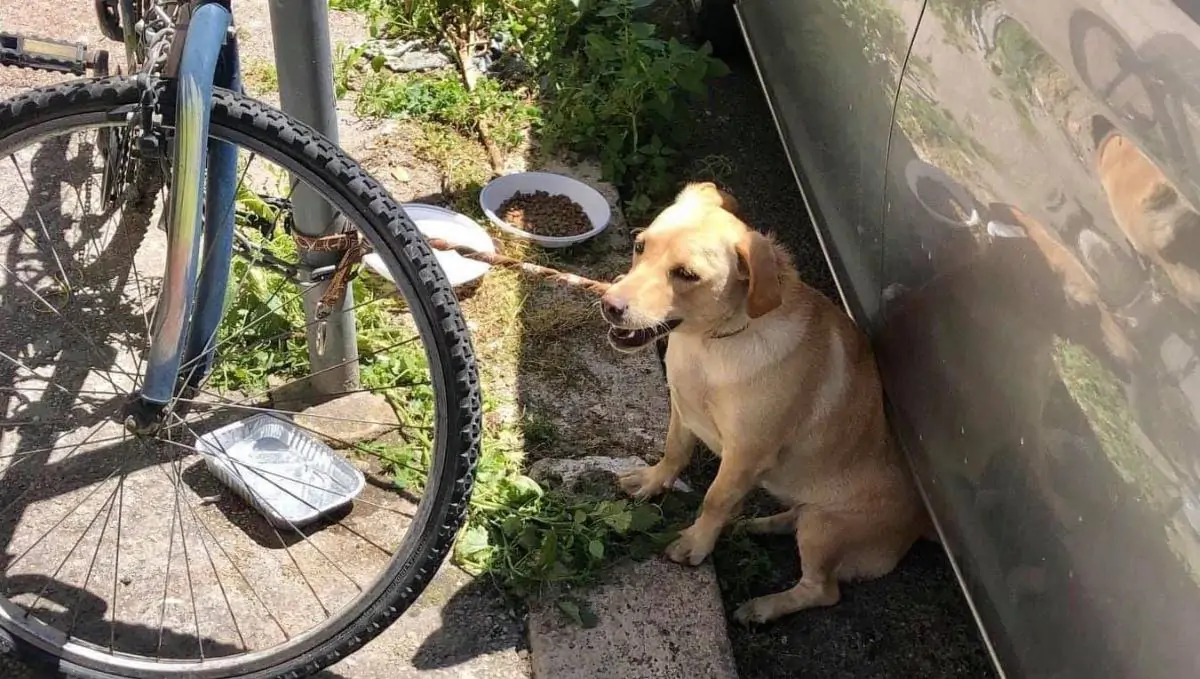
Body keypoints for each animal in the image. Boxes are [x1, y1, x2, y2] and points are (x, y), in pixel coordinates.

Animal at [604, 183, 931, 623]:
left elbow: (715, 498)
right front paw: (654, 482)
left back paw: (763, 607)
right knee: (793, 519)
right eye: (640, 246)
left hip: (824, 528)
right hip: (810, 514)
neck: (710, 345)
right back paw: (756, 525)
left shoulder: (745, 453)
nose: (609, 305)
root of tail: (922, 521)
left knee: (822, 589)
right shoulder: (682, 411)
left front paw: (696, 544)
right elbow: (674, 453)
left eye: (687, 275)